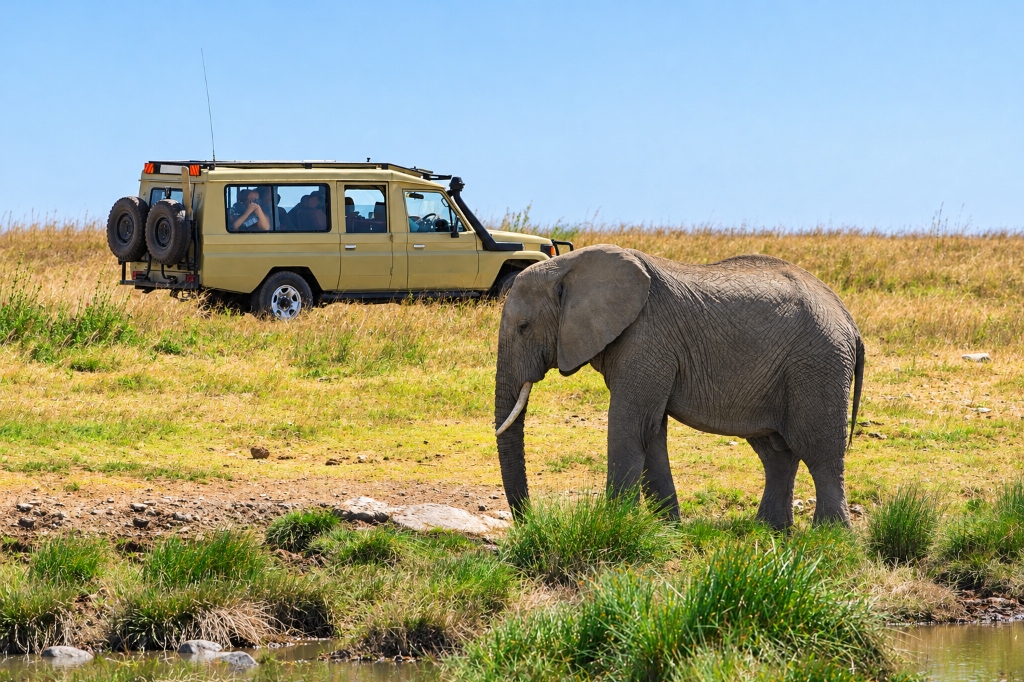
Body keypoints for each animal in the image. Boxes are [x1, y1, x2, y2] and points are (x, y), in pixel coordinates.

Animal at [494, 244, 864, 530]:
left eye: (524, 326)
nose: (530, 522)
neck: (569, 266)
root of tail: (848, 318)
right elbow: (652, 430)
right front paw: (666, 529)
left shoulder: (647, 338)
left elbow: (631, 425)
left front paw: (614, 525)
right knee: (776, 453)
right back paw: (770, 530)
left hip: (818, 364)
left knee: (819, 451)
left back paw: (830, 536)